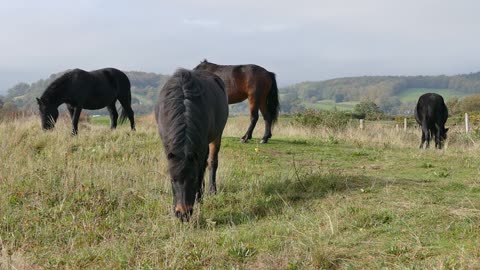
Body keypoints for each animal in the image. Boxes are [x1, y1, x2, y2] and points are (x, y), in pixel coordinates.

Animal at [155, 68, 228, 221]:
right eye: (172, 179)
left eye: (193, 179)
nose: (183, 214)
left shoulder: (202, 146)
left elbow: (201, 170)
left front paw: (199, 198)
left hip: (217, 136)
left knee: (212, 162)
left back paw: (211, 190)